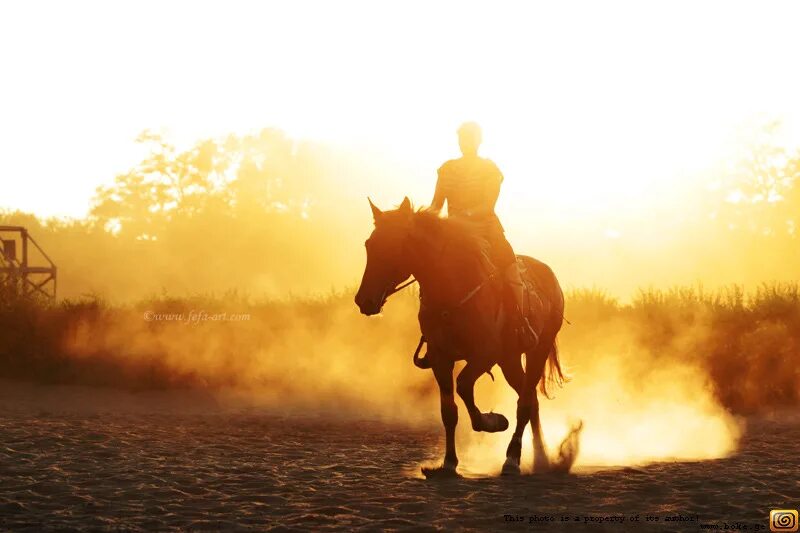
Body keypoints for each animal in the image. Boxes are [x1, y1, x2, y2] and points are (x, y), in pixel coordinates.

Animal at [354, 197, 572, 476]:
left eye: (396, 244)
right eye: (369, 244)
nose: (364, 300)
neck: (452, 290)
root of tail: (550, 278)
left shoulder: (484, 355)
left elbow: (464, 385)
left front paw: (492, 421)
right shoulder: (441, 359)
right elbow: (449, 411)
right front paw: (448, 463)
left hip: (537, 350)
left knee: (524, 403)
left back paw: (513, 459)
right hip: (510, 360)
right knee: (530, 399)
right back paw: (540, 456)